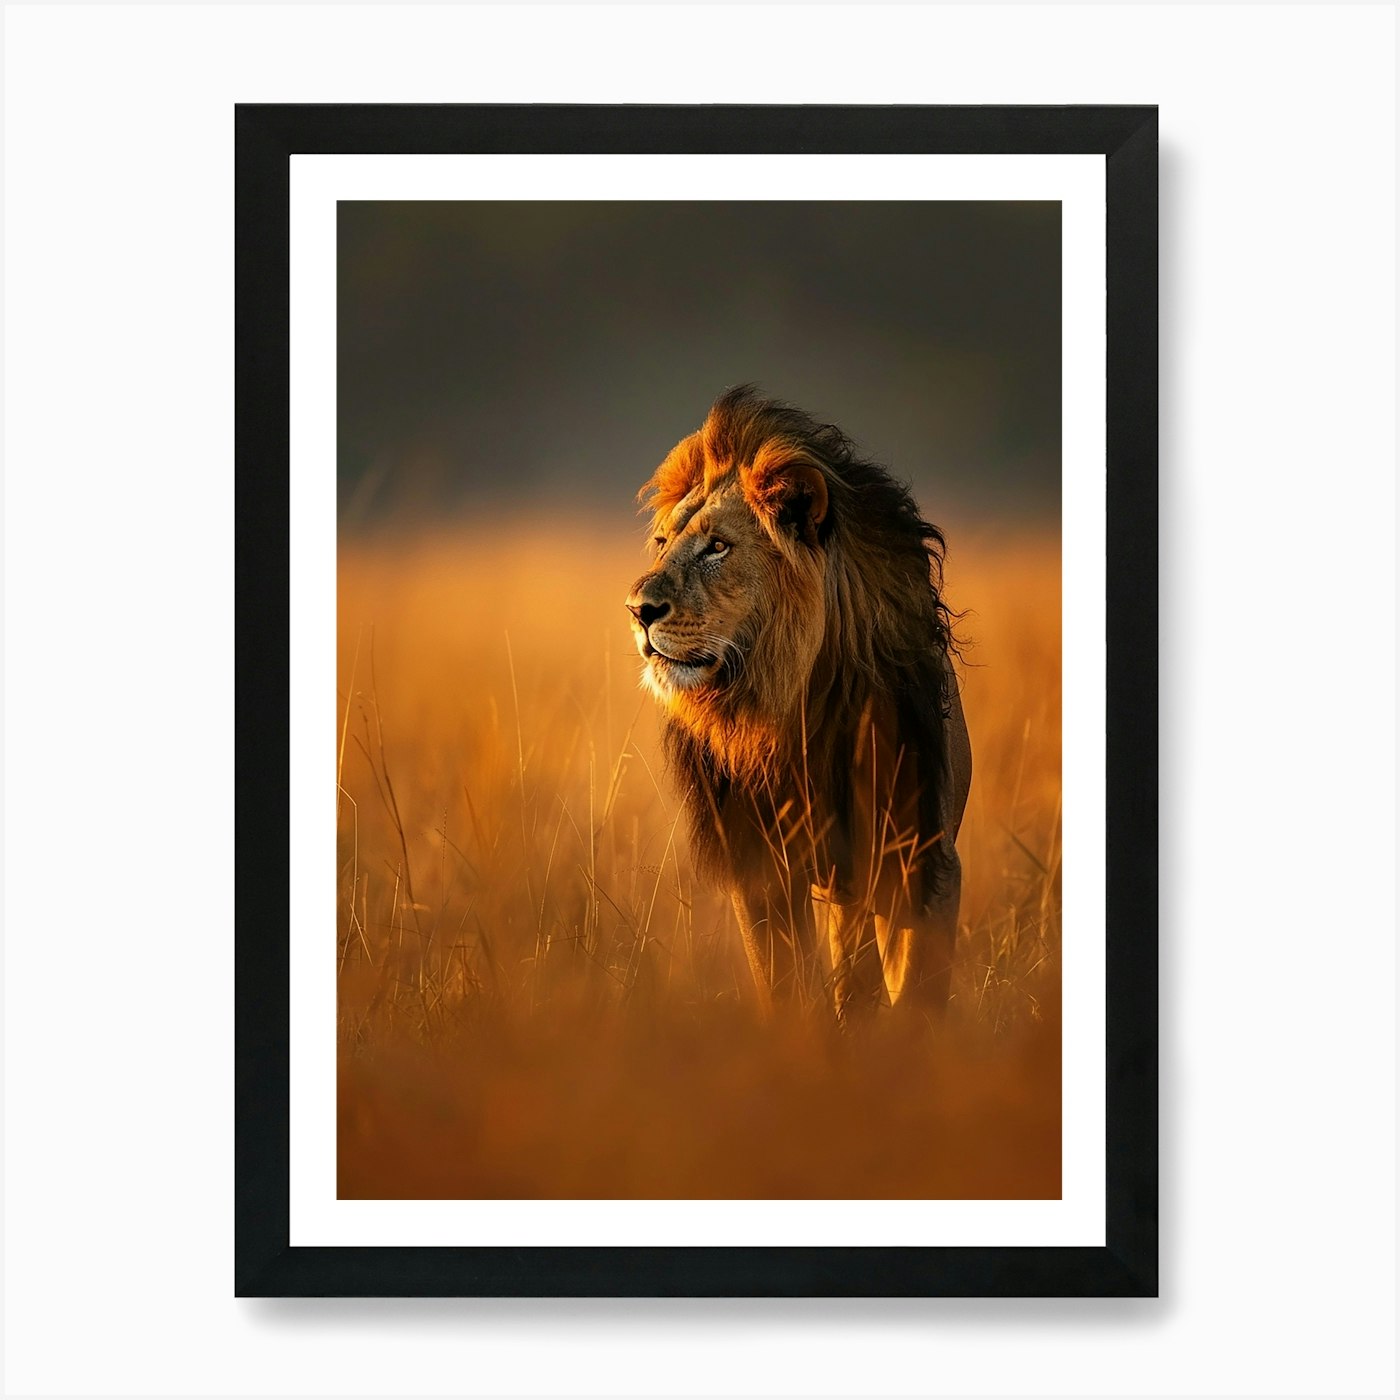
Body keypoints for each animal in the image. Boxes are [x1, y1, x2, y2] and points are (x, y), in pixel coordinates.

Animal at [626, 387, 972, 1021]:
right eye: (662, 544)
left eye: (717, 547)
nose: (638, 609)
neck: (792, 704)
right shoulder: (761, 869)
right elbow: (786, 988)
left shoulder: (924, 861)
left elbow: (917, 997)